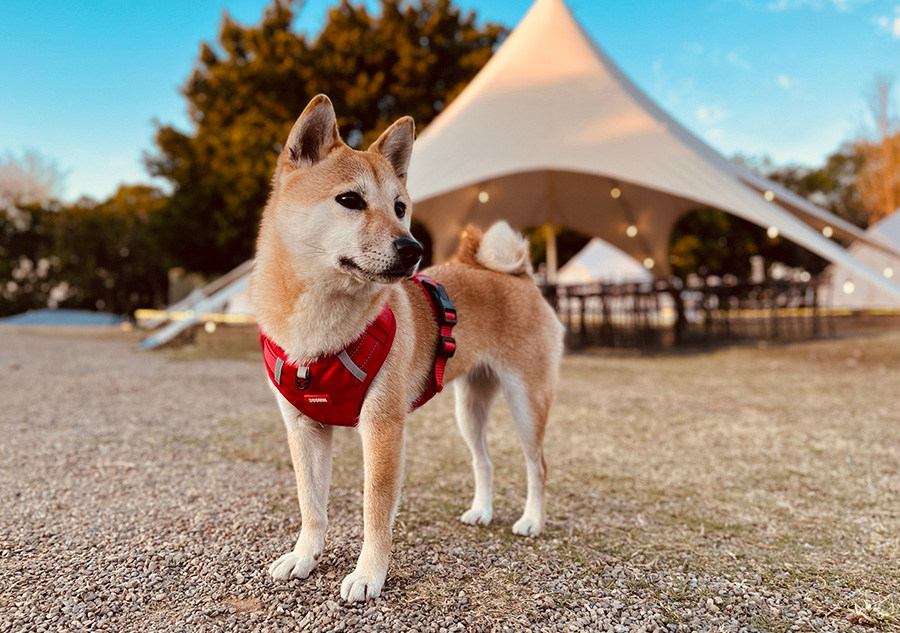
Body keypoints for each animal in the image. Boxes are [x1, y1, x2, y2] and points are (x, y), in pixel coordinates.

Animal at [250, 95, 564, 604]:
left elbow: (375, 514)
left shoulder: (382, 428)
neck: (319, 323)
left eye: (400, 207)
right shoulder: (303, 427)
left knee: (537, 466)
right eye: (350, 200)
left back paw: (531, 520)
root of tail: (515, 274)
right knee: (484, 460)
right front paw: (304, 557)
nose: (413, 247)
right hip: (470, 407)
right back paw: (482, 511)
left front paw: (368, 576)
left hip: (526, 401)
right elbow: (311, 504)